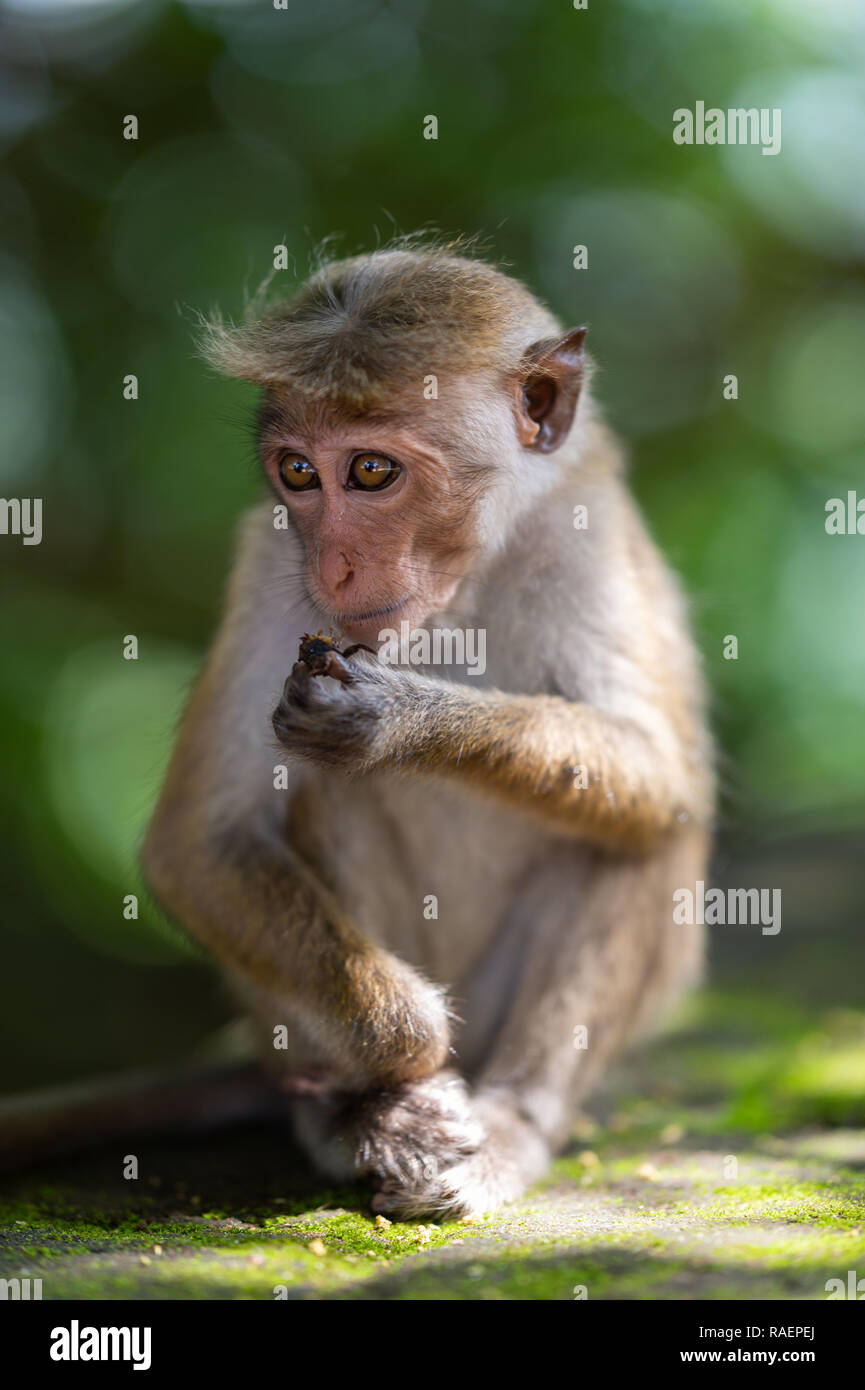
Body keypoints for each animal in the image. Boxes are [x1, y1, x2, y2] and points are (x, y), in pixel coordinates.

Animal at [3, 247, 717, 1217]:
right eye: (299, 473)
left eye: (372, 472)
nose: (335, 565)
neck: (456, 597)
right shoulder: (271, 558)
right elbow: (202, 840)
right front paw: (404, 1051)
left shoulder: (586, 538)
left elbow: (661, 777)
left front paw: (397, 720)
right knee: (322, 797)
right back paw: (357, 1112)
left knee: (633, 837)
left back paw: (512, 1122)